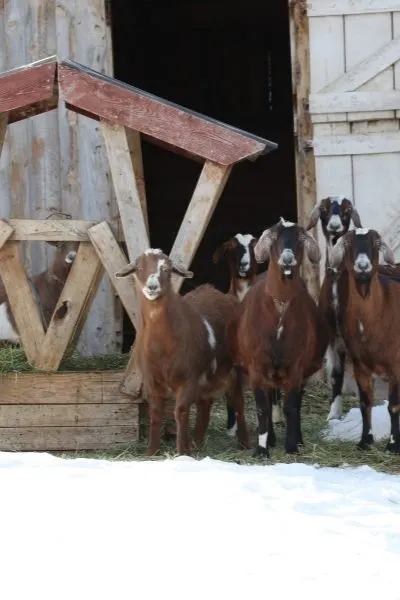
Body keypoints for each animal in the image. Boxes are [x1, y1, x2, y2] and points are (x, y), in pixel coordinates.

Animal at [115, 248, 250, 454]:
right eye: (139, 268)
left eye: (167, 269)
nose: (152, 287)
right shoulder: (152, 380)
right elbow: (156, 412)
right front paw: (152, 451)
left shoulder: (188, 379)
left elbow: (181, 411)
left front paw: (181, 452)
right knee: (205, 403)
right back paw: (197, 443)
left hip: (235, 368)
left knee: (238, 402)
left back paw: (244, 443)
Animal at [212, 233, 284, 436]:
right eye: (232, 246)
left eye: (254, 244)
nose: (244, 264)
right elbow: (231, 394)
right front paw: (231, 427)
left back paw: (277, 416)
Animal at [233, 218, 330, 458]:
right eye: (274, 238)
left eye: (299, 238)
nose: (287, 259)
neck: (280, 306)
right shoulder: (256, 367)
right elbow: (262, 407)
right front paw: (261, 449)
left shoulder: (296, 367)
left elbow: (291, 407)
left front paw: (292, 447)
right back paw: (270, 439)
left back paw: (297, 439)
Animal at [328, 227, 400, 452]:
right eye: (348, 243)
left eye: (376, 243)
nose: (362, 266)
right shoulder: (360, 365)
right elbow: (364, 403)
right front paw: (365, 441)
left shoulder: (396, 365)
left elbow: (394, 406)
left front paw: (393, 445)